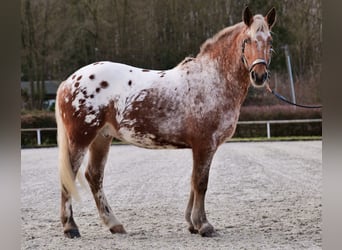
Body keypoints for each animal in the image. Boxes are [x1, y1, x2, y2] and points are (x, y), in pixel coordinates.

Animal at [55, 6, 276, 238]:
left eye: (270, 40)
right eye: (247, 40)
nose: (259, 75)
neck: (212, 81)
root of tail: (70, 81)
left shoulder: (199, 147)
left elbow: (193, 182)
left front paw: (192, 223)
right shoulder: (205, 144)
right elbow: (201, 183)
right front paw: (204, 225)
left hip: (101, 138)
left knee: (94, 176)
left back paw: (114, 224)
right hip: (81, 138)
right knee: (70, 175)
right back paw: (70, 227)